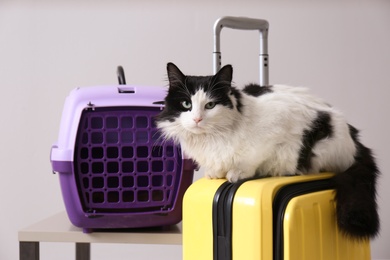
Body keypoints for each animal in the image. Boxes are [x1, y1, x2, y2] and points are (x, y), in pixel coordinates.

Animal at [154, 61, 380, 240]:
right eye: (186, 104)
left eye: (210, 105)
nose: (197, 119)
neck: (212, 139)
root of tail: (354, 136)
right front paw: (215, 172)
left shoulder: (277, 130)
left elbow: (252, 160)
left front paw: (236, 173)